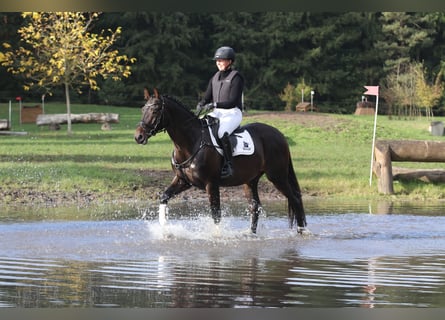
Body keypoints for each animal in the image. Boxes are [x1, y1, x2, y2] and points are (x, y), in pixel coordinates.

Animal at [134, 89, 306, 234]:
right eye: (142, 109)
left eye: (155, 110)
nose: (138, 137)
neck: (191, 142)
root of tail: (279, 135)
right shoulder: (183, 181)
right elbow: (164, 197)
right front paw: (165, 230)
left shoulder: (211, 184)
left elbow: (216, 214)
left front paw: (217, 237)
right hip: (250, 181)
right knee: (255, 206)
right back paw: (250, 234)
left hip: (277, 177)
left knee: (295, 199)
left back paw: (302, 231)